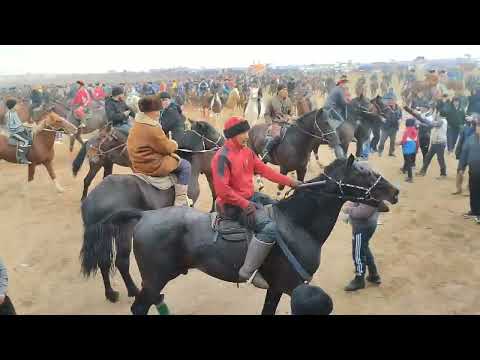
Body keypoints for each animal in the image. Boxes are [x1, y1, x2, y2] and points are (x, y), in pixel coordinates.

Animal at [84, 156, 400, 314]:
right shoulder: (289, 286)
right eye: (363, 174)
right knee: (138, 306)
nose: (394, 191)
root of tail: (145, 216)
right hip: (154, 280)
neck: (297, 224)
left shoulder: (279, 289)